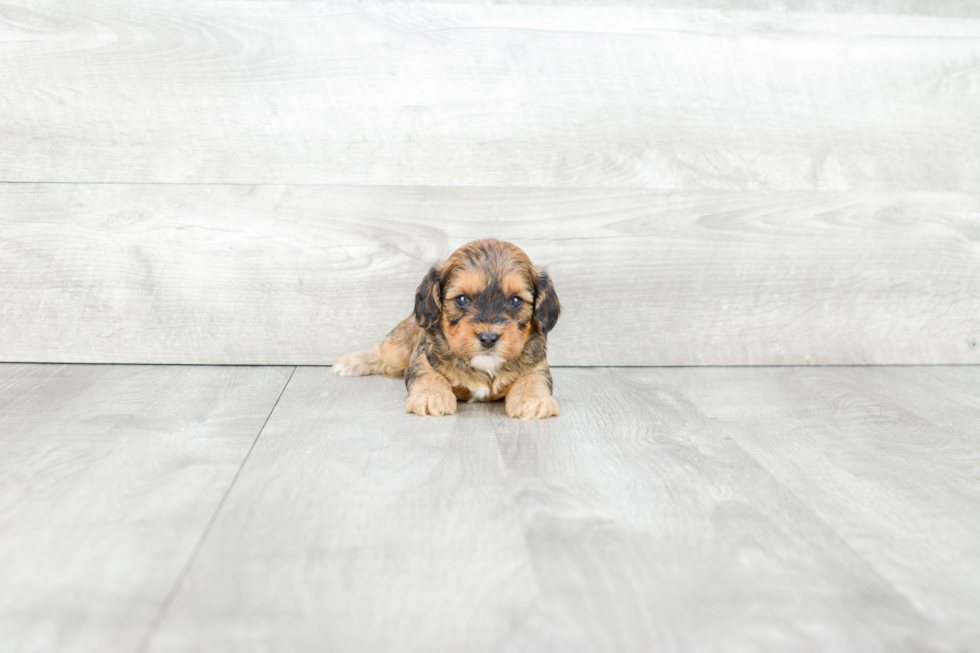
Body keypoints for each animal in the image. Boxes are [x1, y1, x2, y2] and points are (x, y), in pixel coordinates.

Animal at [334, 238, 560, 418]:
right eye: (461, 299)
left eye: (515, 301)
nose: (488, 338)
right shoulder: (422, 359)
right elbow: (428, 376)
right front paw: (431, 396)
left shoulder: (537, 365)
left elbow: (533, 379)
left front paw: (533, 400)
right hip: (398, 347)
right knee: (382, 352)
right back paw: (352, 361)